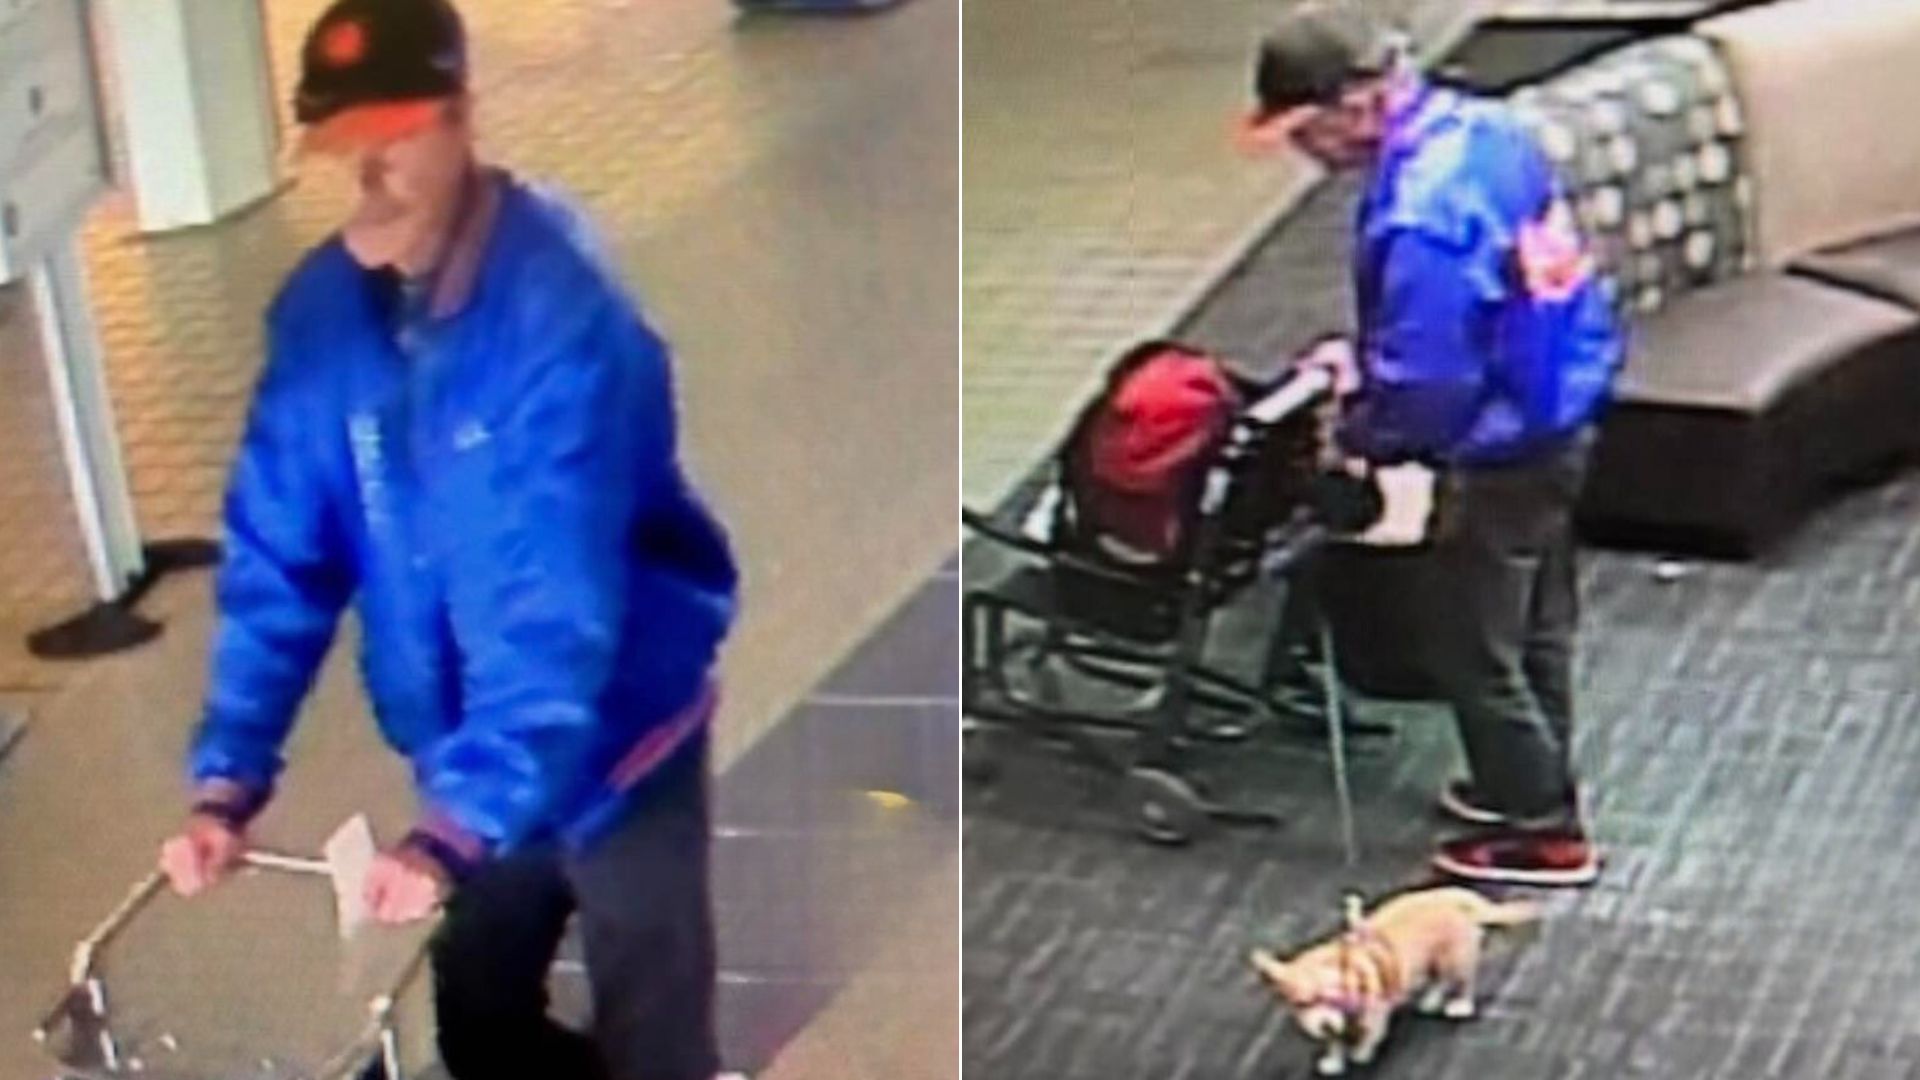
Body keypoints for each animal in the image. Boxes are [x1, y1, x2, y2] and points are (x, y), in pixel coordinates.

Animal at [1244, 883, 1543, 1068]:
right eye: (1301, 1003)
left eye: (1332, 996)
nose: (1325, 1026)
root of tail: (1454, 897)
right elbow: (1335, 1041)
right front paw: (1334, 1059)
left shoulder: (1374, 1014)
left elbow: (1369, 1034)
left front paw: (1360, 1054)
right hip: (1433, 960)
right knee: (1438, 980)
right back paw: (1431, 1000)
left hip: (1455, 960)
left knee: (1462, 981)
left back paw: (1461, 1004)